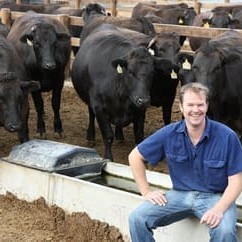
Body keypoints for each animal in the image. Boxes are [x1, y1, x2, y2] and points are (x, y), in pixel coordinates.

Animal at [7, 11, 71, 139]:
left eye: (55, 43)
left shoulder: (60, 80)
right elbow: (39, 105)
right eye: (37, 43)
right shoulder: (34, 82)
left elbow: (55, 103)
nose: (49, 65)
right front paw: (41, 129)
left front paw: (58, 128)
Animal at [71, 23, 173, 161]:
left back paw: (120, 136)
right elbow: (108, 136)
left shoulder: (139, 110)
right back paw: (91, 137)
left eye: (152, 72)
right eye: (130, 71)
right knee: (91, 115)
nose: (143, 100)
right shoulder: (99, 108)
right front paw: (109, 158)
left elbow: (139, 134)